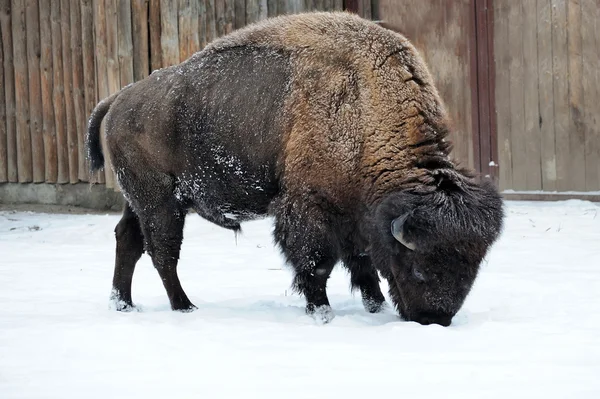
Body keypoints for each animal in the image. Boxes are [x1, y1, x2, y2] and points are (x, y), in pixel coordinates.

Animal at [86, 11, 504, 328]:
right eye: (418, 268)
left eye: (472, 268)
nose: (434, 319)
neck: (363, 106)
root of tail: (117, 99)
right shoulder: (309, 209)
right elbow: (317, 264)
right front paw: (322, 313)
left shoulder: (353, 216)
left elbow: (362, 264)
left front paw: (374, 306)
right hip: (161, 204)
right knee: (162, 253)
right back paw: (184, 306)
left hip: (138, 201)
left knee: (128, 241)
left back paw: (124, 304)